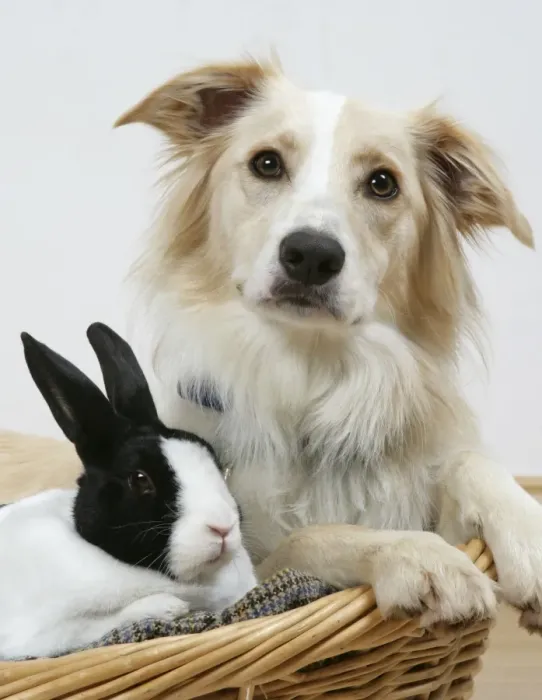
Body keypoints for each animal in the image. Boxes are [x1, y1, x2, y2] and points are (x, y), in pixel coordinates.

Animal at [0, 323, 257, 659]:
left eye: (212, 456)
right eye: (140, 479)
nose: (223, 527)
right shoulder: (45, 635)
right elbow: (96, 626)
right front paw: (169, 607)